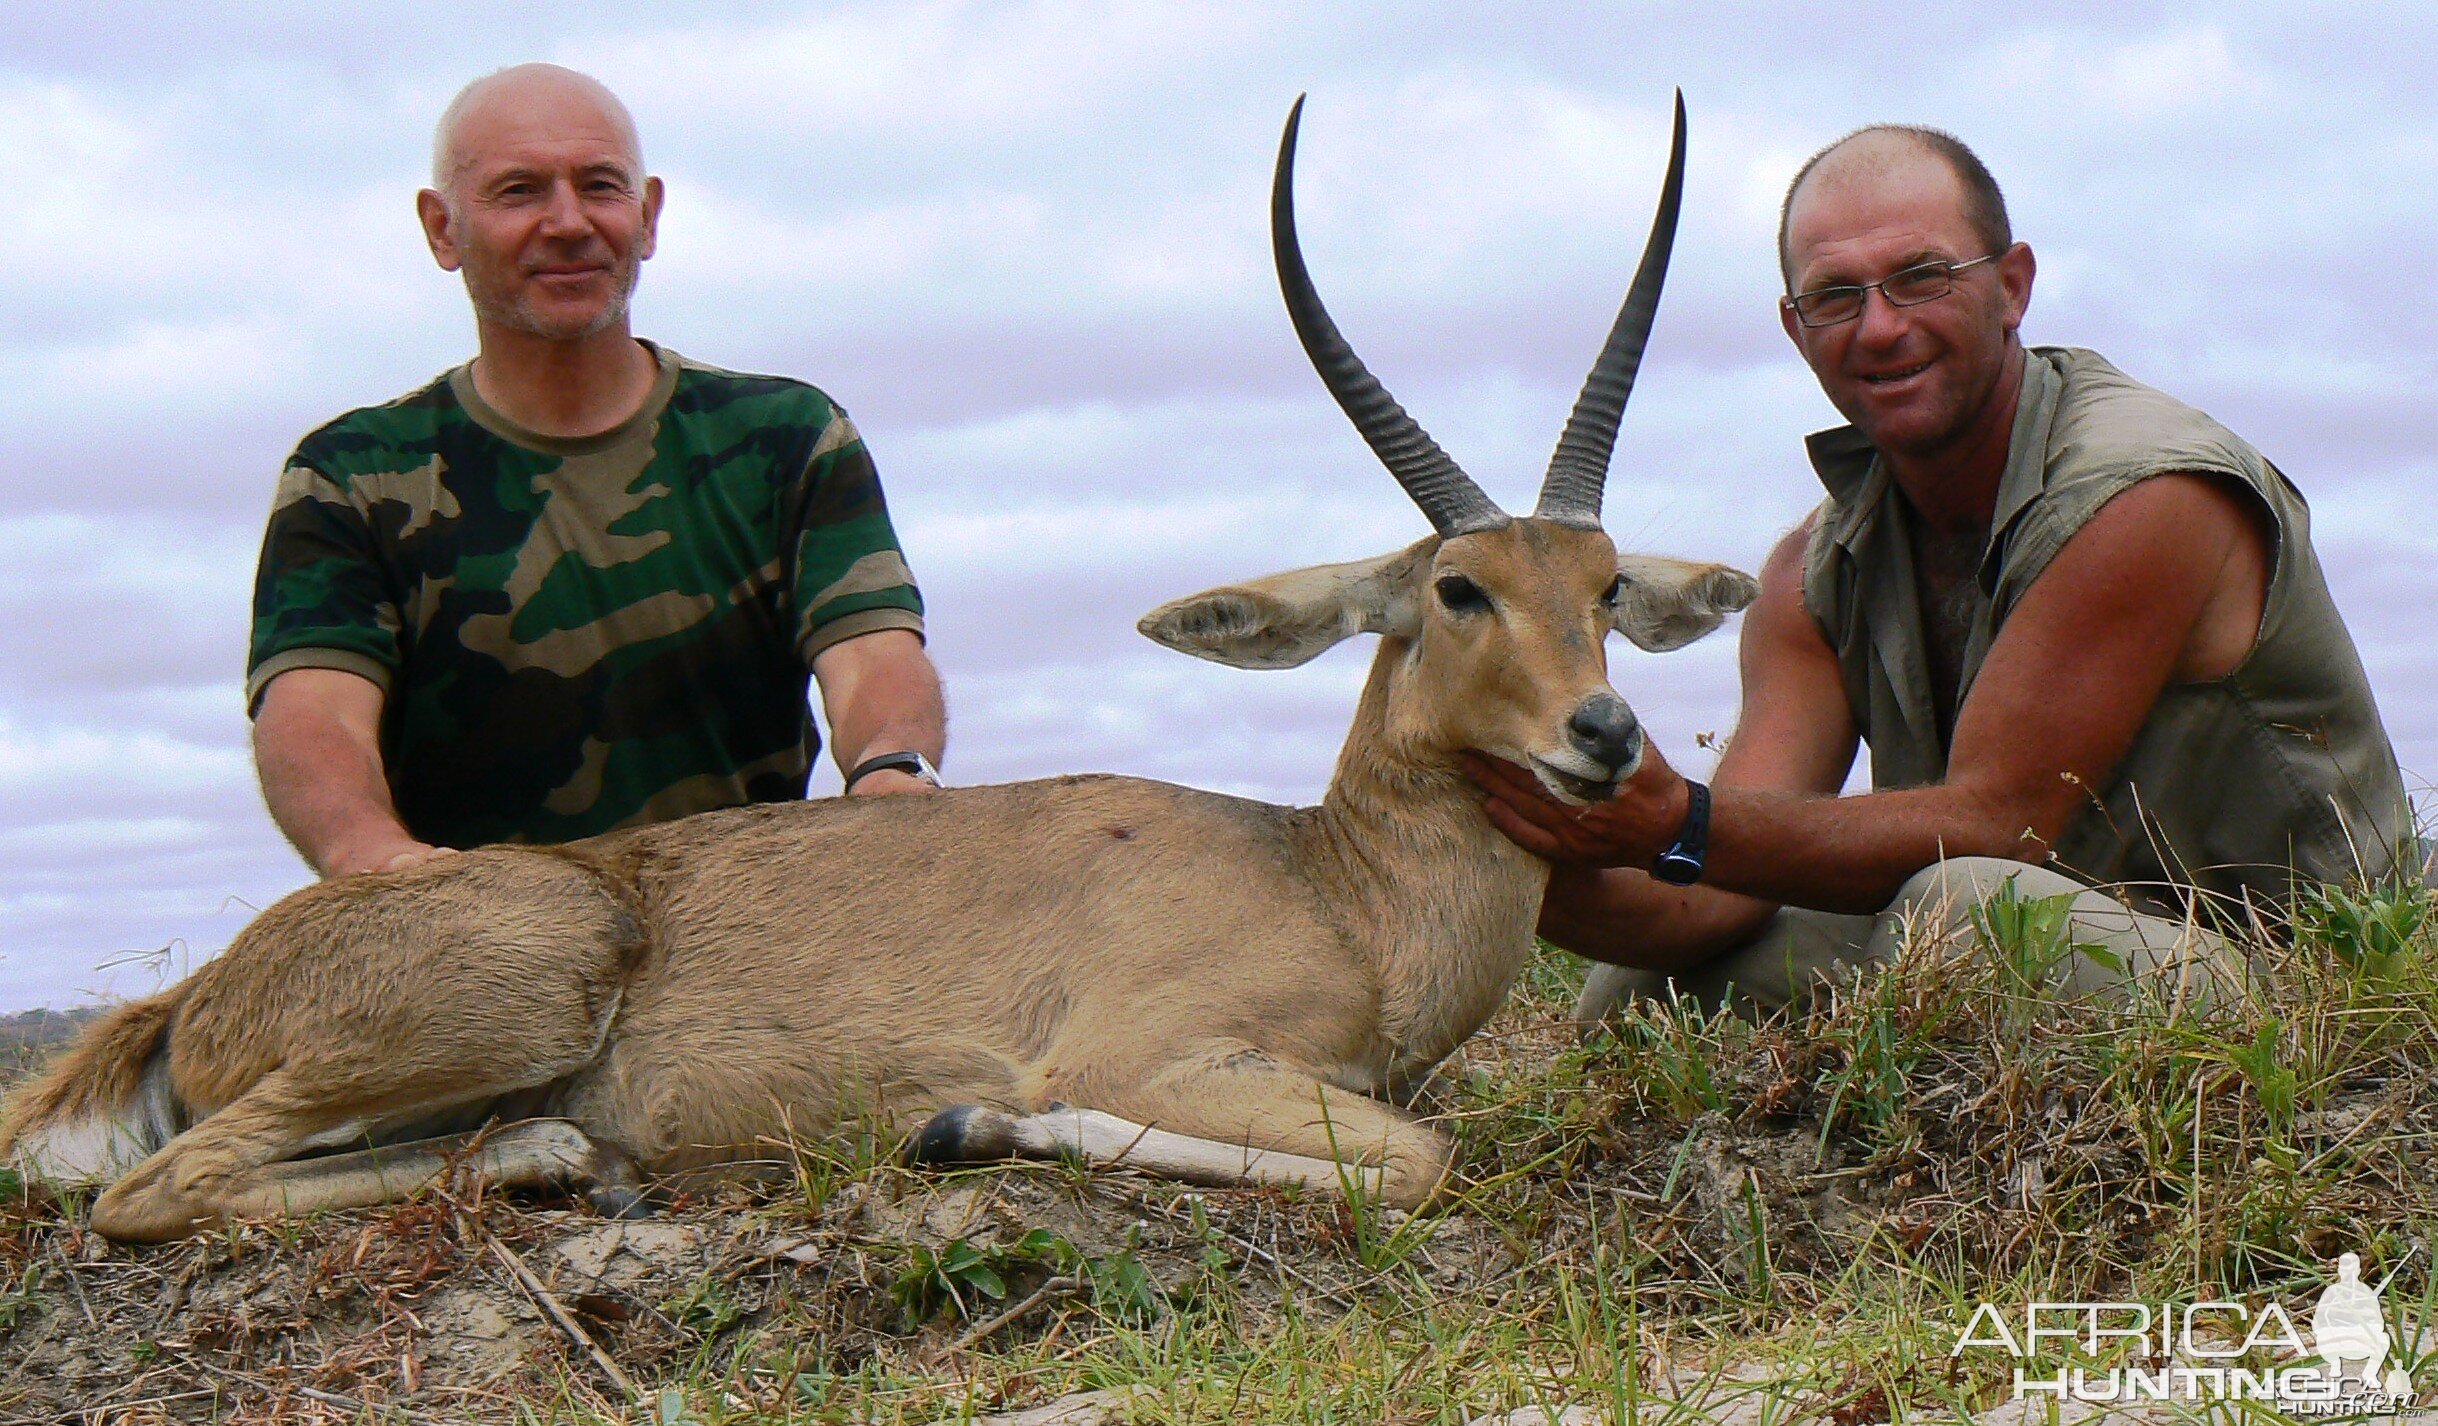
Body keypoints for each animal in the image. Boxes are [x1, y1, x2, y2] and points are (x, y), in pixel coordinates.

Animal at [4, 97, 1755, 1248]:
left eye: (1604, 585)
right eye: (1455, 587)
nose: (1605, 733)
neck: (1333, 884)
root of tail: (202, 986)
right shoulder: (1160, 1052)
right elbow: (1413, 1159)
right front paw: (966, 1117)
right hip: (509, 994)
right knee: (157, 1186)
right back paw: (575, 1156)